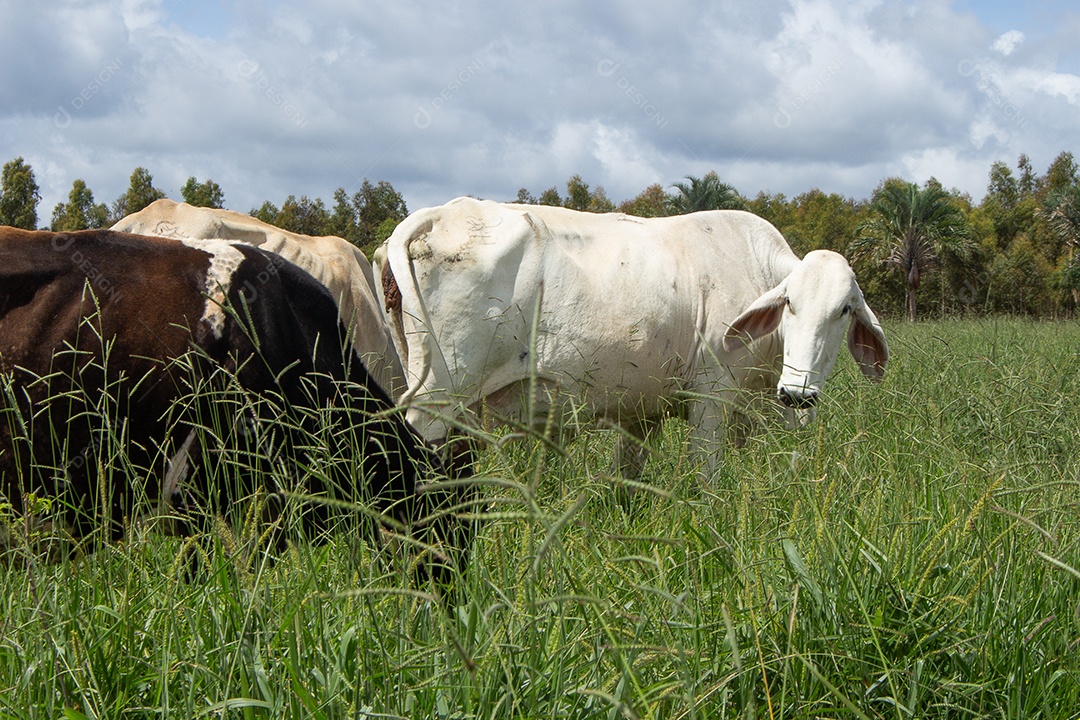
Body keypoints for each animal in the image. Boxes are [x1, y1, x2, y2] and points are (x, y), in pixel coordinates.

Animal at [374, 197, 888, 479]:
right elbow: (708, 480)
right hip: (438, 397)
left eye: (844, 310)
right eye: (789, 303)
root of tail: (438, 214)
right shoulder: (712, 397)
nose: (797, 393)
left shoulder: (641, 410)